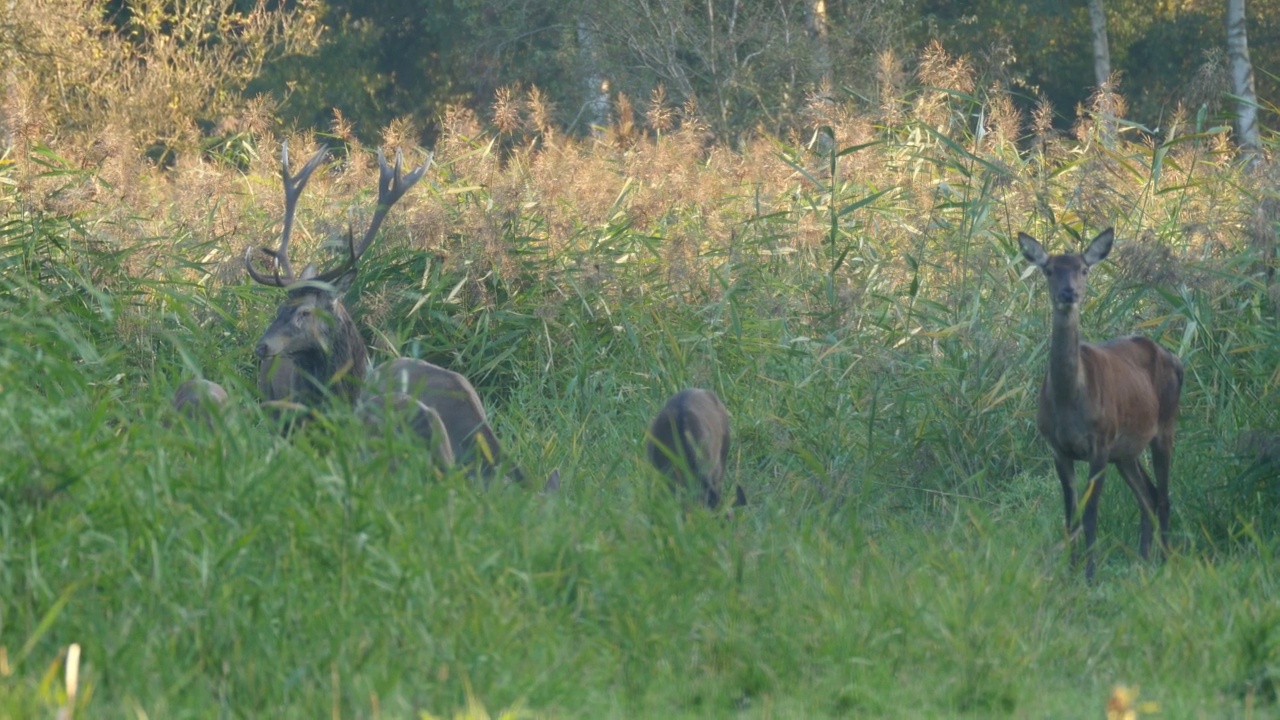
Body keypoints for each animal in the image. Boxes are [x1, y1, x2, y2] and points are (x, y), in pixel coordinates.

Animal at [1018, 228, 1187, 576]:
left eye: (1083, 269)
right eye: (1049, 270)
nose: (1069, 292)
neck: (1070, 402)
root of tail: (1176, 359)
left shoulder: (1099, 442)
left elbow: (1091, 512)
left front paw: (1090, 574)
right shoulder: (1057, 447)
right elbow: (1070, 515)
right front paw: (1070, 571)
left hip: (1165, 426)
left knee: (1164, 495)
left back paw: (1166, 560)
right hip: (1125, 452)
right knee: (1148, 495)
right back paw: (1142, 560)